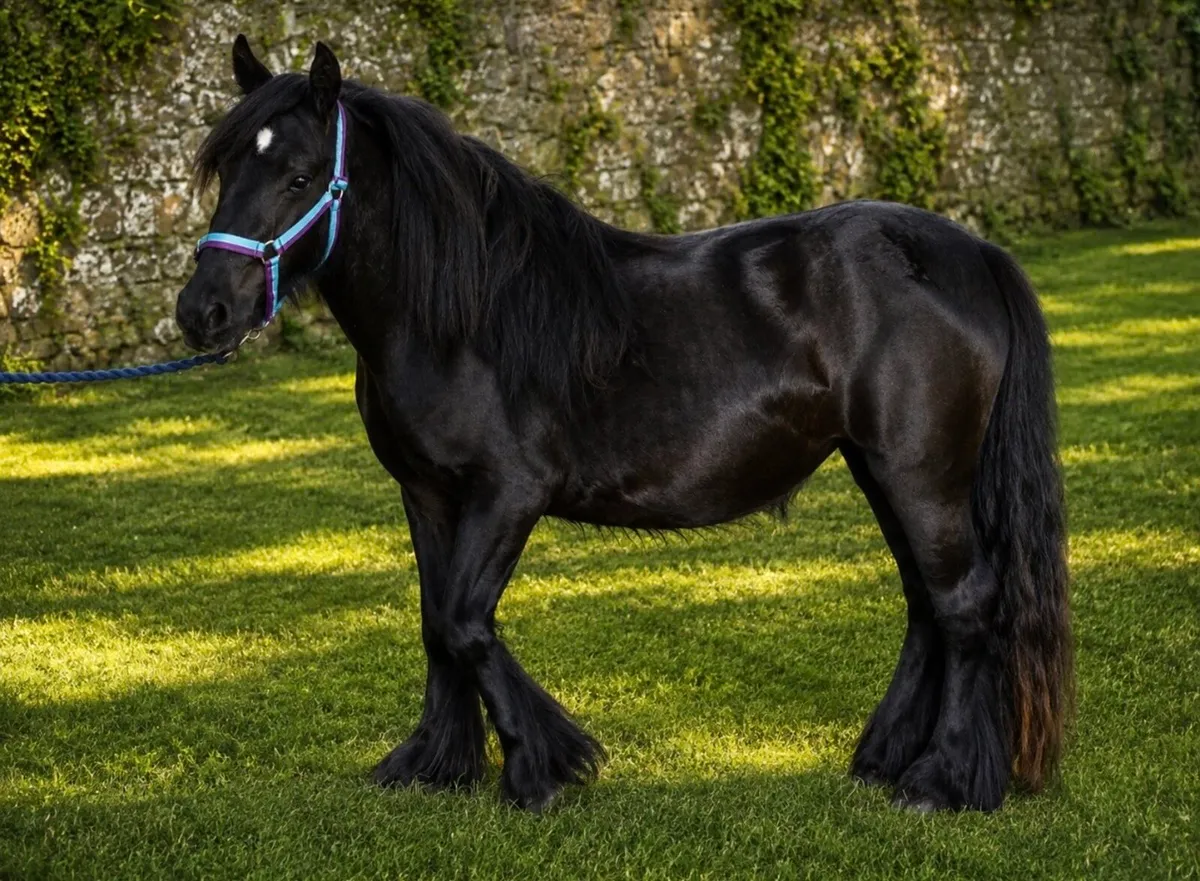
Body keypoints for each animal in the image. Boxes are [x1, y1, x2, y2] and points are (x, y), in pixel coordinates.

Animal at [175, 36, 1073, 813]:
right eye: (225, 166)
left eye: (298, 176)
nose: (201, 311)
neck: (460, 314)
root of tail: (971, 253)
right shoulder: (427, 493)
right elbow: (436, 623)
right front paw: (435, 763)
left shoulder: (508, 493)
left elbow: (465, 622)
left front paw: (543, 767)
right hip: (880, 466)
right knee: (927, 604)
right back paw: (886, 758)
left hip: (922, 473)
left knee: (964, 605)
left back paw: (943, 780)